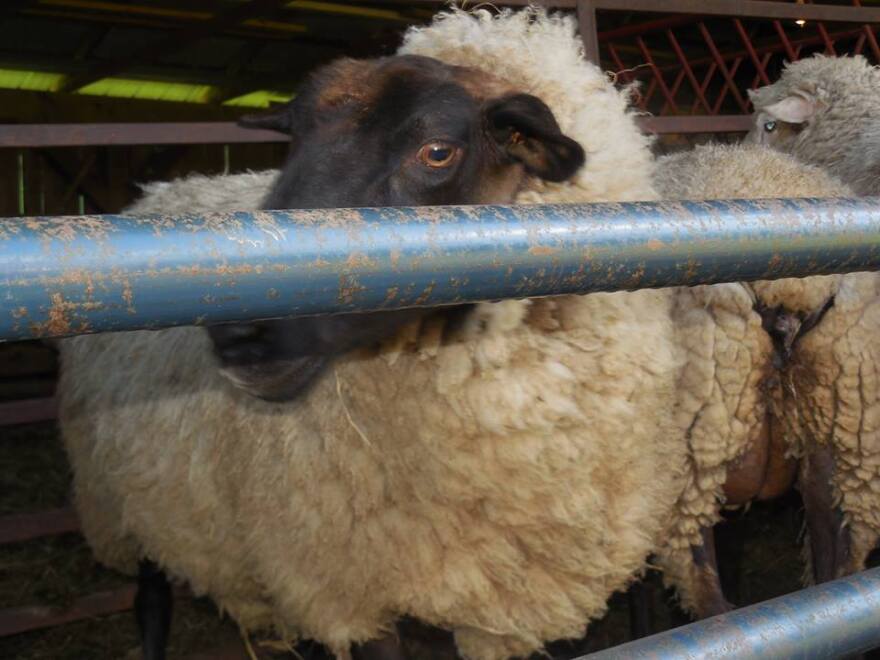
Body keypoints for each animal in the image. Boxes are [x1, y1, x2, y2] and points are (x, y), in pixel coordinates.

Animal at [60, 9, 691, 660]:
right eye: (294, 141)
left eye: (436, 152)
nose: (231, 332)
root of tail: (155, 194)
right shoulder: (357, 593)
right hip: (121, 501)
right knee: (150, 599)